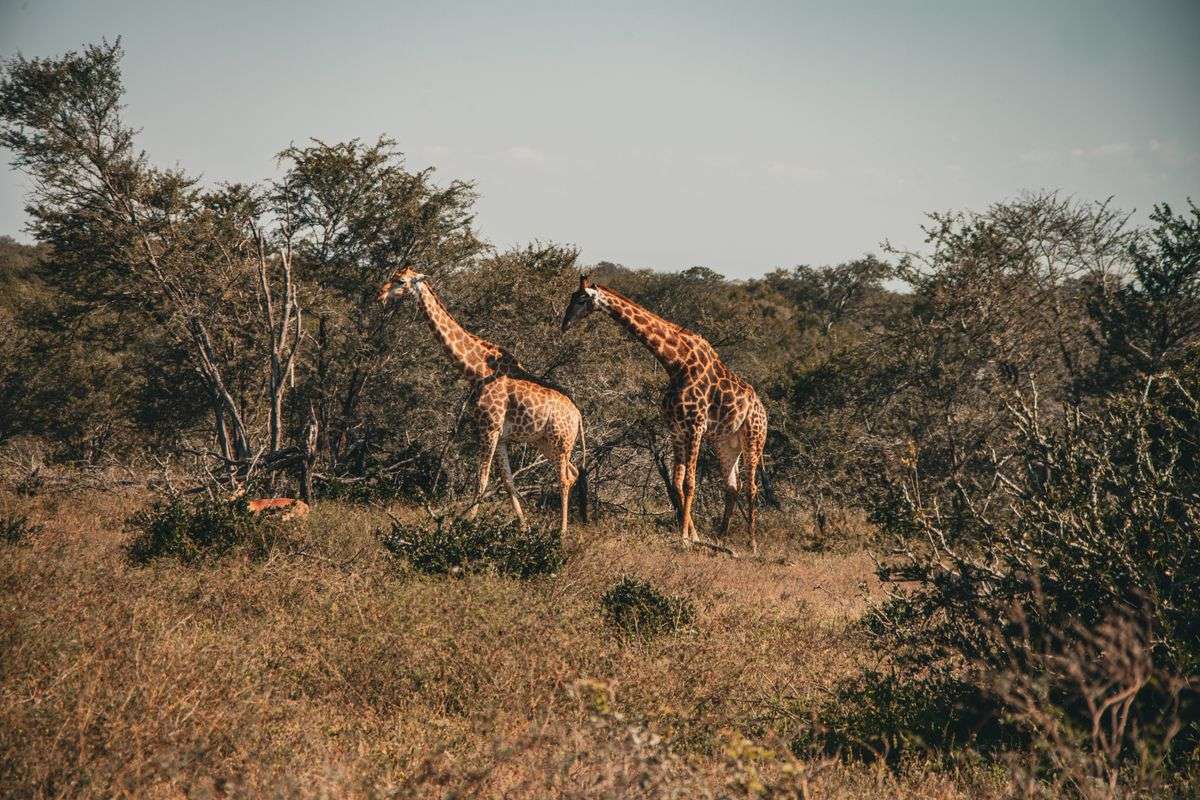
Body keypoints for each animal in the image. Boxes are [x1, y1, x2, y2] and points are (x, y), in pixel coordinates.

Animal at [379, 266, 585, 534]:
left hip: (560, 442)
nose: (380, 294)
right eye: (393, 276)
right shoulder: (501, 435)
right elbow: (507, 481)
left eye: (401, 281)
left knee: (564, 478)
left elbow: (482, 480)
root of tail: (578, 415)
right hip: (546, 443)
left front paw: (466, 524)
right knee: (574, 472)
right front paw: (523, 527)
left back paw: (561, 532)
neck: (475, 371)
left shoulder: (489, 427)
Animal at [561, 275, 767, 553]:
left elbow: (689, 483)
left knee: (752, 487)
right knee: (733, 485)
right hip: (725, 443)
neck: (676, 363)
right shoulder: (676, 429)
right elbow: (677, 482)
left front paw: (685, 538)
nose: (564, 324)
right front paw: (693, 535)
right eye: (572, 297)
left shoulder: (694, 427)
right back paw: (722, 537)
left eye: (582, 299)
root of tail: (763, 410)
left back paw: (752, 543)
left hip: (753, 438)